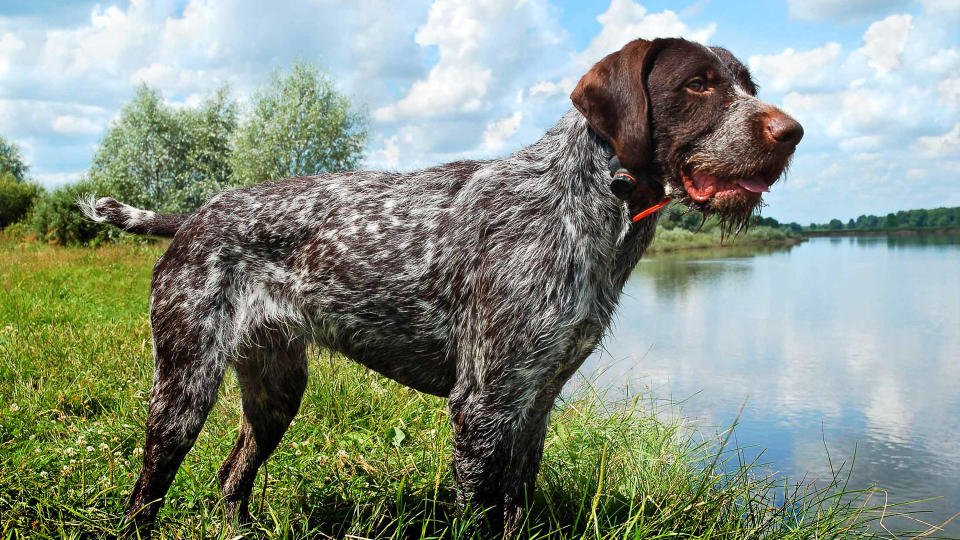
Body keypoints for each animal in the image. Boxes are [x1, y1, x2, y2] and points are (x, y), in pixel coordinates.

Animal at [80, 37, 804, 536]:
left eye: (747, 84)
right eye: (699, 85)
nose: (791, 132)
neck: (593, 199)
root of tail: (193, 216)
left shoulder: (533, 405)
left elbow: (516, 507)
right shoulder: (482, 408)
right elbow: (481, 515)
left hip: (276, 389)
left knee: (232, 477)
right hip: (184, 387)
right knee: (146, 494)